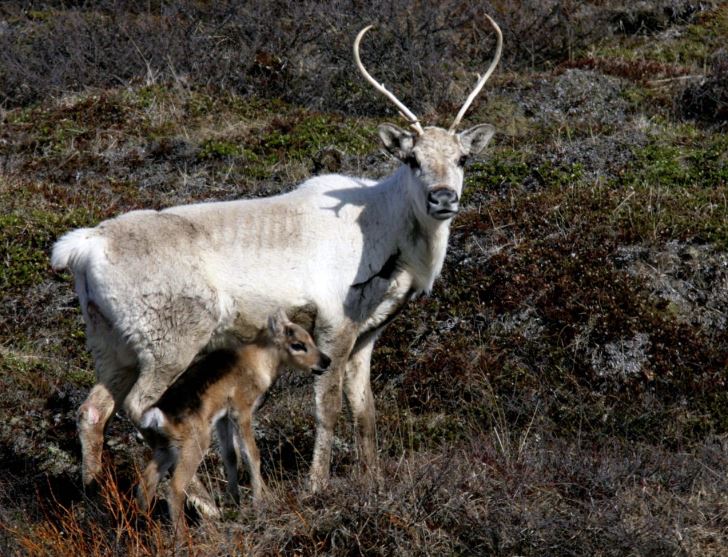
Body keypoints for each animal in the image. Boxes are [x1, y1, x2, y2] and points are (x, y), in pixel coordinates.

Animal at [136, 308, 330, 520]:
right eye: (297, 344)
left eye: (310, 338)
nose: (326, 361)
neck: (259, 360)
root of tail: (158, 414)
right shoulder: (242, 410)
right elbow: (252, 454)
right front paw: (259, 502)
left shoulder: (223, 418)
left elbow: (231, 455)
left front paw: (236, 501)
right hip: (194, 445)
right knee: (175, 489)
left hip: (165, 448)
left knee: (145, 483)